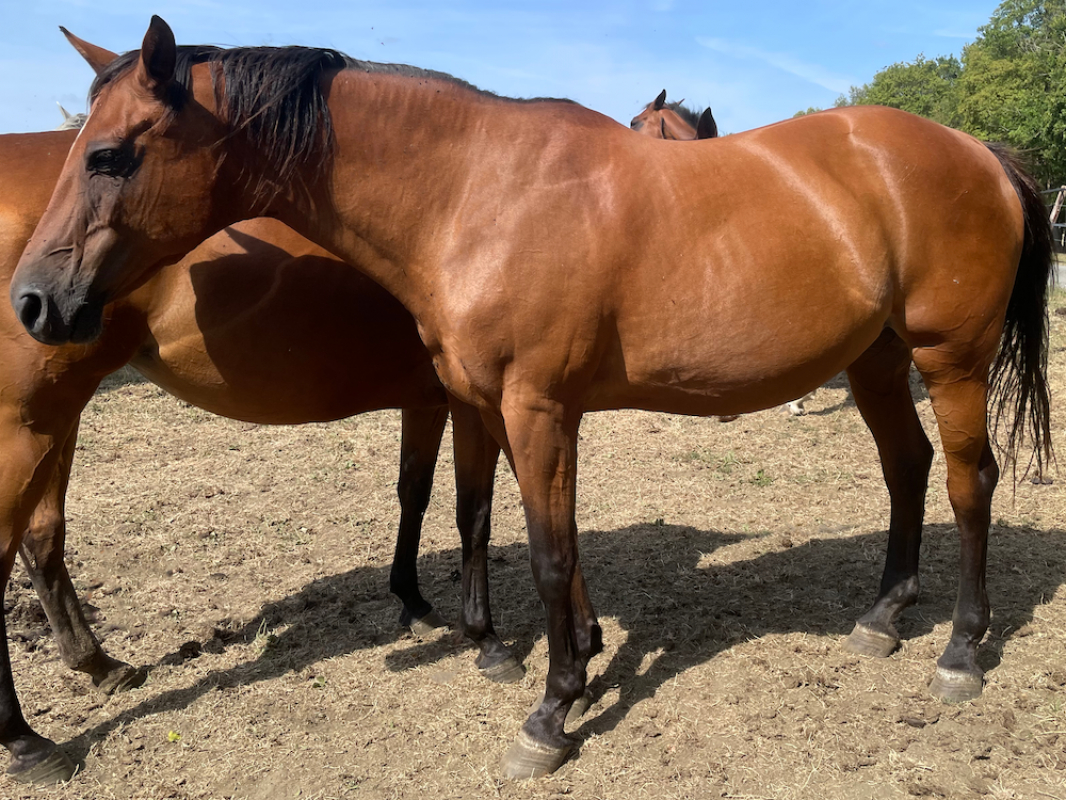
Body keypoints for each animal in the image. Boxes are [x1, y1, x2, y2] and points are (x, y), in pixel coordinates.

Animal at [11, 17, 1053, 780]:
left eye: (109, 156)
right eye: (80, 150)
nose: (33, 300)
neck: (477, 192)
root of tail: (978, 151)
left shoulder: (538, 407)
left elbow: (547, 555)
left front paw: (549, 714)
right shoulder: (496, 406)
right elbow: (527, 528)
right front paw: (578, 662)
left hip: (950, 361)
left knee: (969, 483)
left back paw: (961, 650)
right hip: (878, 363)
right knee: (908, 468)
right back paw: (883, 616)